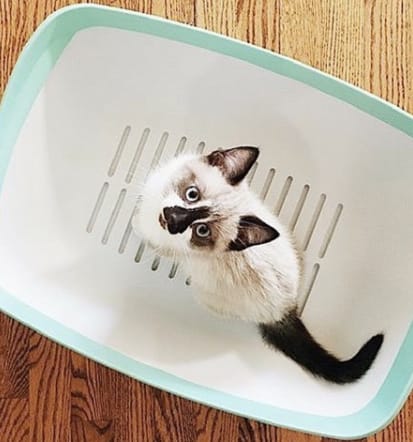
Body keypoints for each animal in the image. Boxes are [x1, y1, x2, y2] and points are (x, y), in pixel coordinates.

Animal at [133, 145, 384, 384]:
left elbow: (146, 236)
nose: (173, 219)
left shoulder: (161, 243)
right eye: (192, 194)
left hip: (206, 295)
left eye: (202, 230)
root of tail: (285, 311)